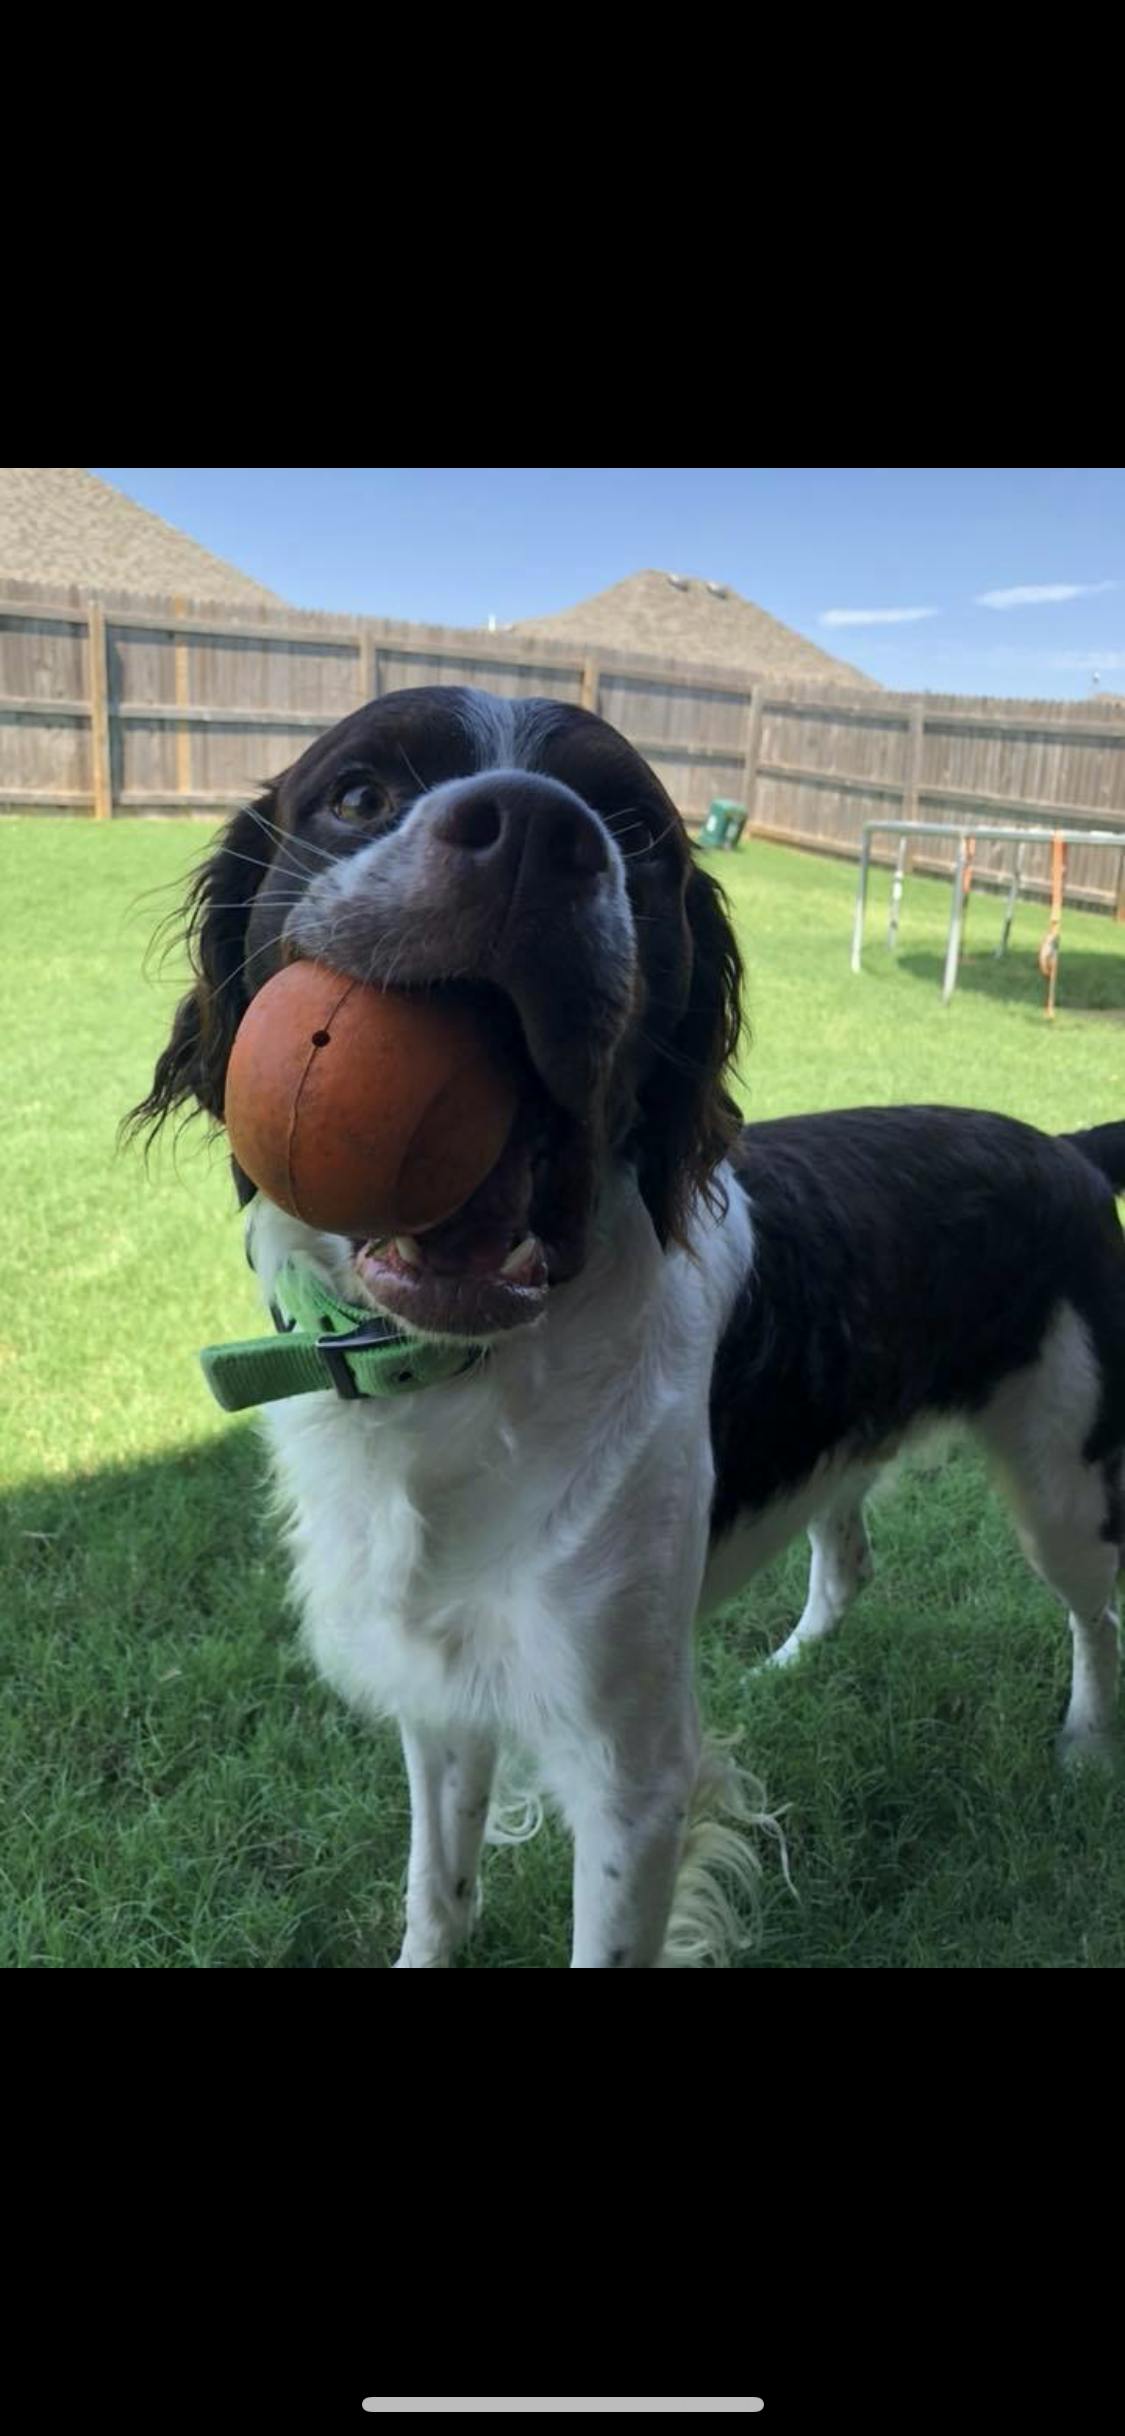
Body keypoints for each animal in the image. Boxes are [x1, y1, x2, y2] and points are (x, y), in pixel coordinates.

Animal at [127, 682, 1125, 1958]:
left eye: (636, 830)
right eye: (359, 793)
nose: (531, 832)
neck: (457, 1376)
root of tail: (1068, 1146)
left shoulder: (632, 1776)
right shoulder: (441, 1691)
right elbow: (436, 1888)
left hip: (1065, 1483)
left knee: (1096, 1619)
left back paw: (1087, 1749)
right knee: (850, 1555)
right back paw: (794, 1664)